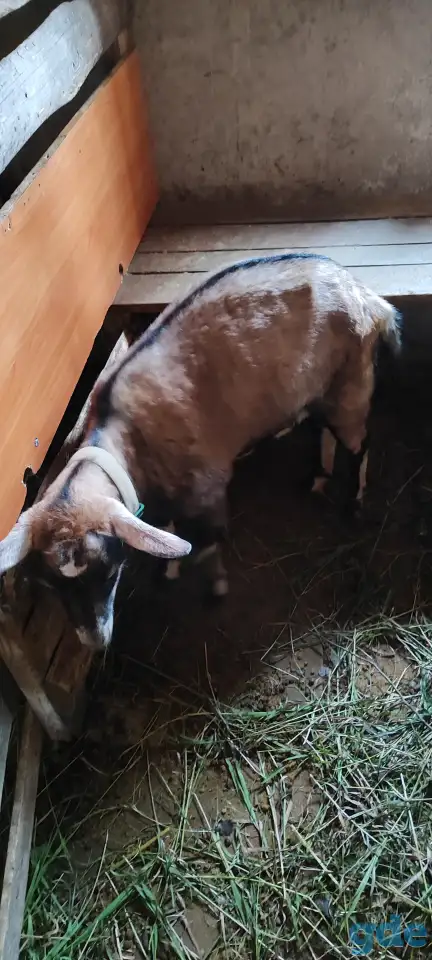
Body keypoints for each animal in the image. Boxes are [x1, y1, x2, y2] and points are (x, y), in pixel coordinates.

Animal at [0, 254, 401, 649]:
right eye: (51, 586)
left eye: (110, 573)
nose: (96, 642)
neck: (124, 427)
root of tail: (370, 300)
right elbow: (168, 526)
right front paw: (170, 567)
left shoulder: (208, 487)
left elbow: (207, 541)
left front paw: (215, 587)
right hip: (325, 386)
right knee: (324, 429)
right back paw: (318, 477)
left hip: (351, 381)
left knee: (359, 443)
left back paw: (353, 501)